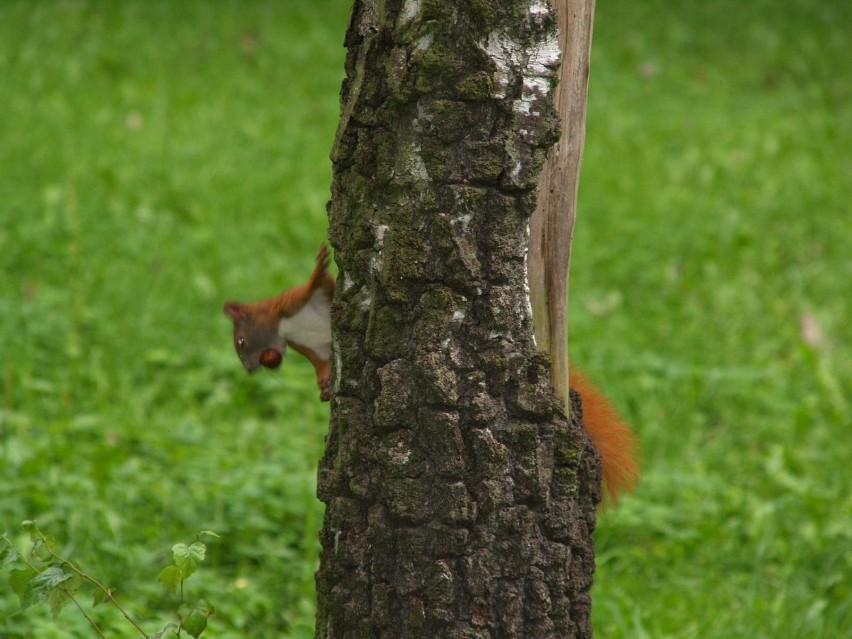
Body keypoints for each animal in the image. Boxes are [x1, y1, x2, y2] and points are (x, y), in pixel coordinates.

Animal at [223, 245, 636, 504]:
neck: (286, 327)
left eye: (241, 341)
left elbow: (313, 283)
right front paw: (324, 384)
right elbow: (323, 363)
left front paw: (320, 263)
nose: (250, 369)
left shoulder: (298, 302)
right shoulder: (316, 346)